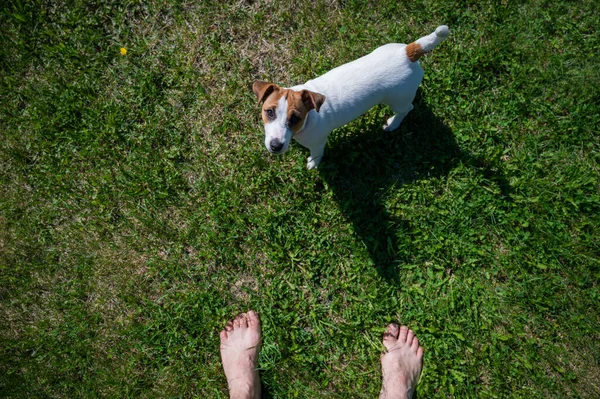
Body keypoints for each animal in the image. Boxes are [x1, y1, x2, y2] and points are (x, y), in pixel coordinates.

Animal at [251, 25, 448, 169]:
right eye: (269, 112)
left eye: (295, 118)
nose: (275, 146)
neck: (310, 117)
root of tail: (408, 52)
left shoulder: (318, 143)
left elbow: (316, 154)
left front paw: (313, 163)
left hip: (398, 99)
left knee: (406, 109)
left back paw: (393, 123)